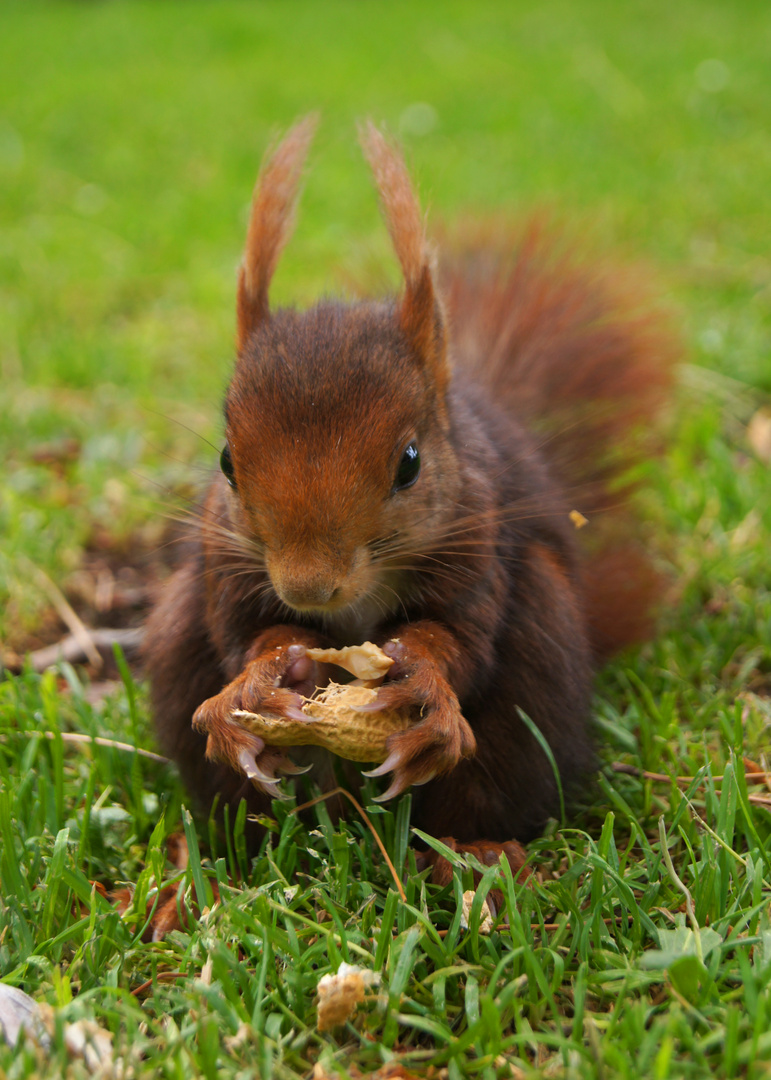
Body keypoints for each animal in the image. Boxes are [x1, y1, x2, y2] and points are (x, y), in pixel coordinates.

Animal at [144, 120, 673, 876]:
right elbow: (245, 634)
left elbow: (458, 639)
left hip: (537, 656)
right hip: (180, 637)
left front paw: (421, 679)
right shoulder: (227, 568)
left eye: (410, 464)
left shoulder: (478, 541)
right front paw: (263, 676)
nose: (308, 588)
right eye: (225, 463)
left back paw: (474, 851)